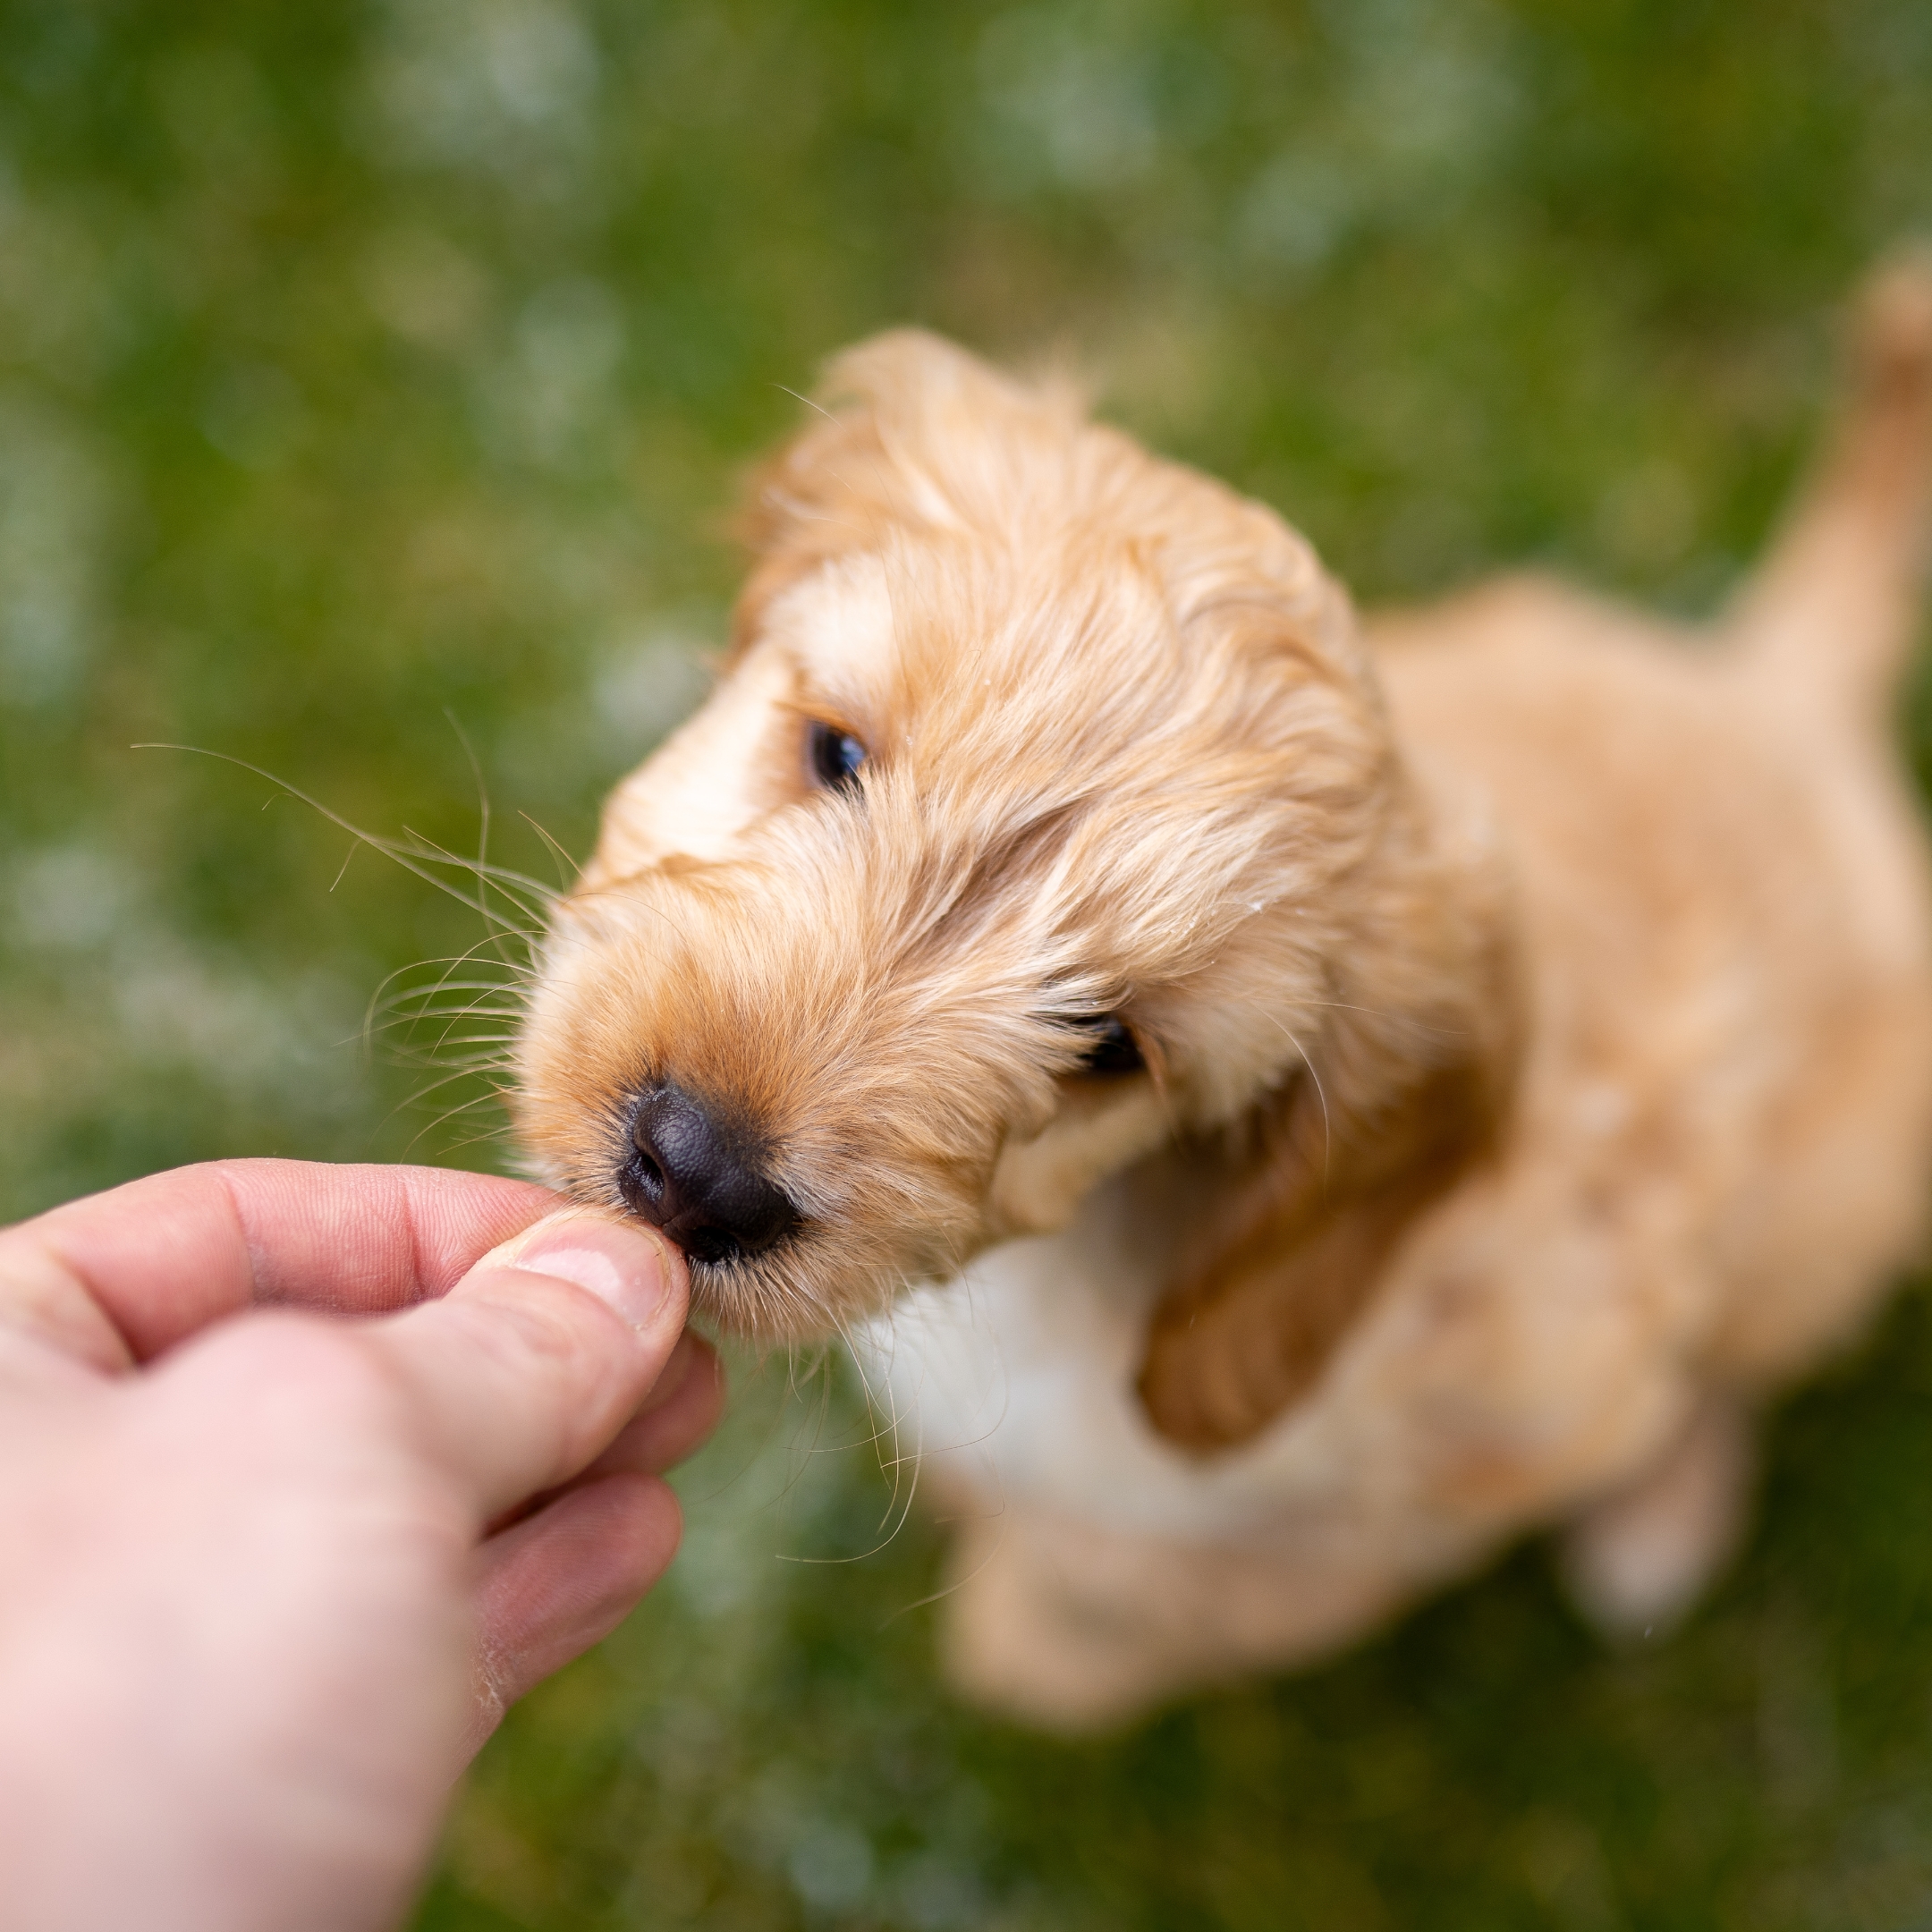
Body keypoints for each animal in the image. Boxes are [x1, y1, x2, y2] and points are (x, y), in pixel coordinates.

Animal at [513, 264, 1932, 1731]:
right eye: (835, 754)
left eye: (1107, 1048)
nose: (694, 1171)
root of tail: (1783, 694)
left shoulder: (1477, 1434)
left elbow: (1128, 1605)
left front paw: (1024, 1644)